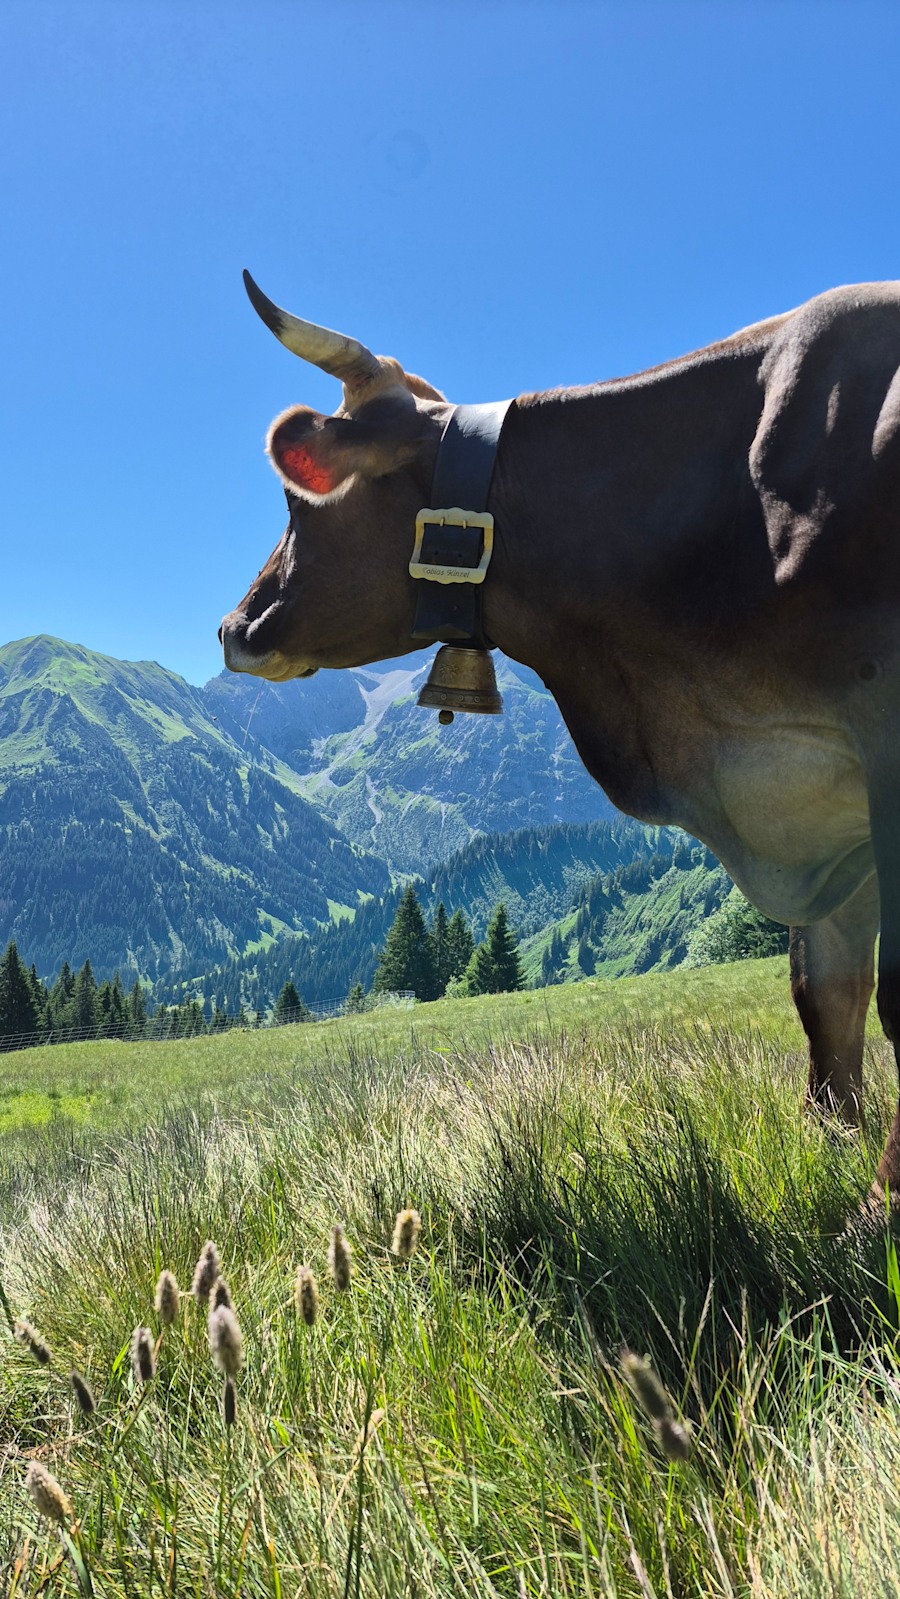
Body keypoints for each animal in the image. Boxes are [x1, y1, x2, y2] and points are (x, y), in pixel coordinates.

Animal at [220, 274, 900, 1202]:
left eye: (298, 501)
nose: (234, 628)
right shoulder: (816, 792)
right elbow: (827, 992)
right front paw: (833, 1157)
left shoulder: (880, 745)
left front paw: (877, 1200)